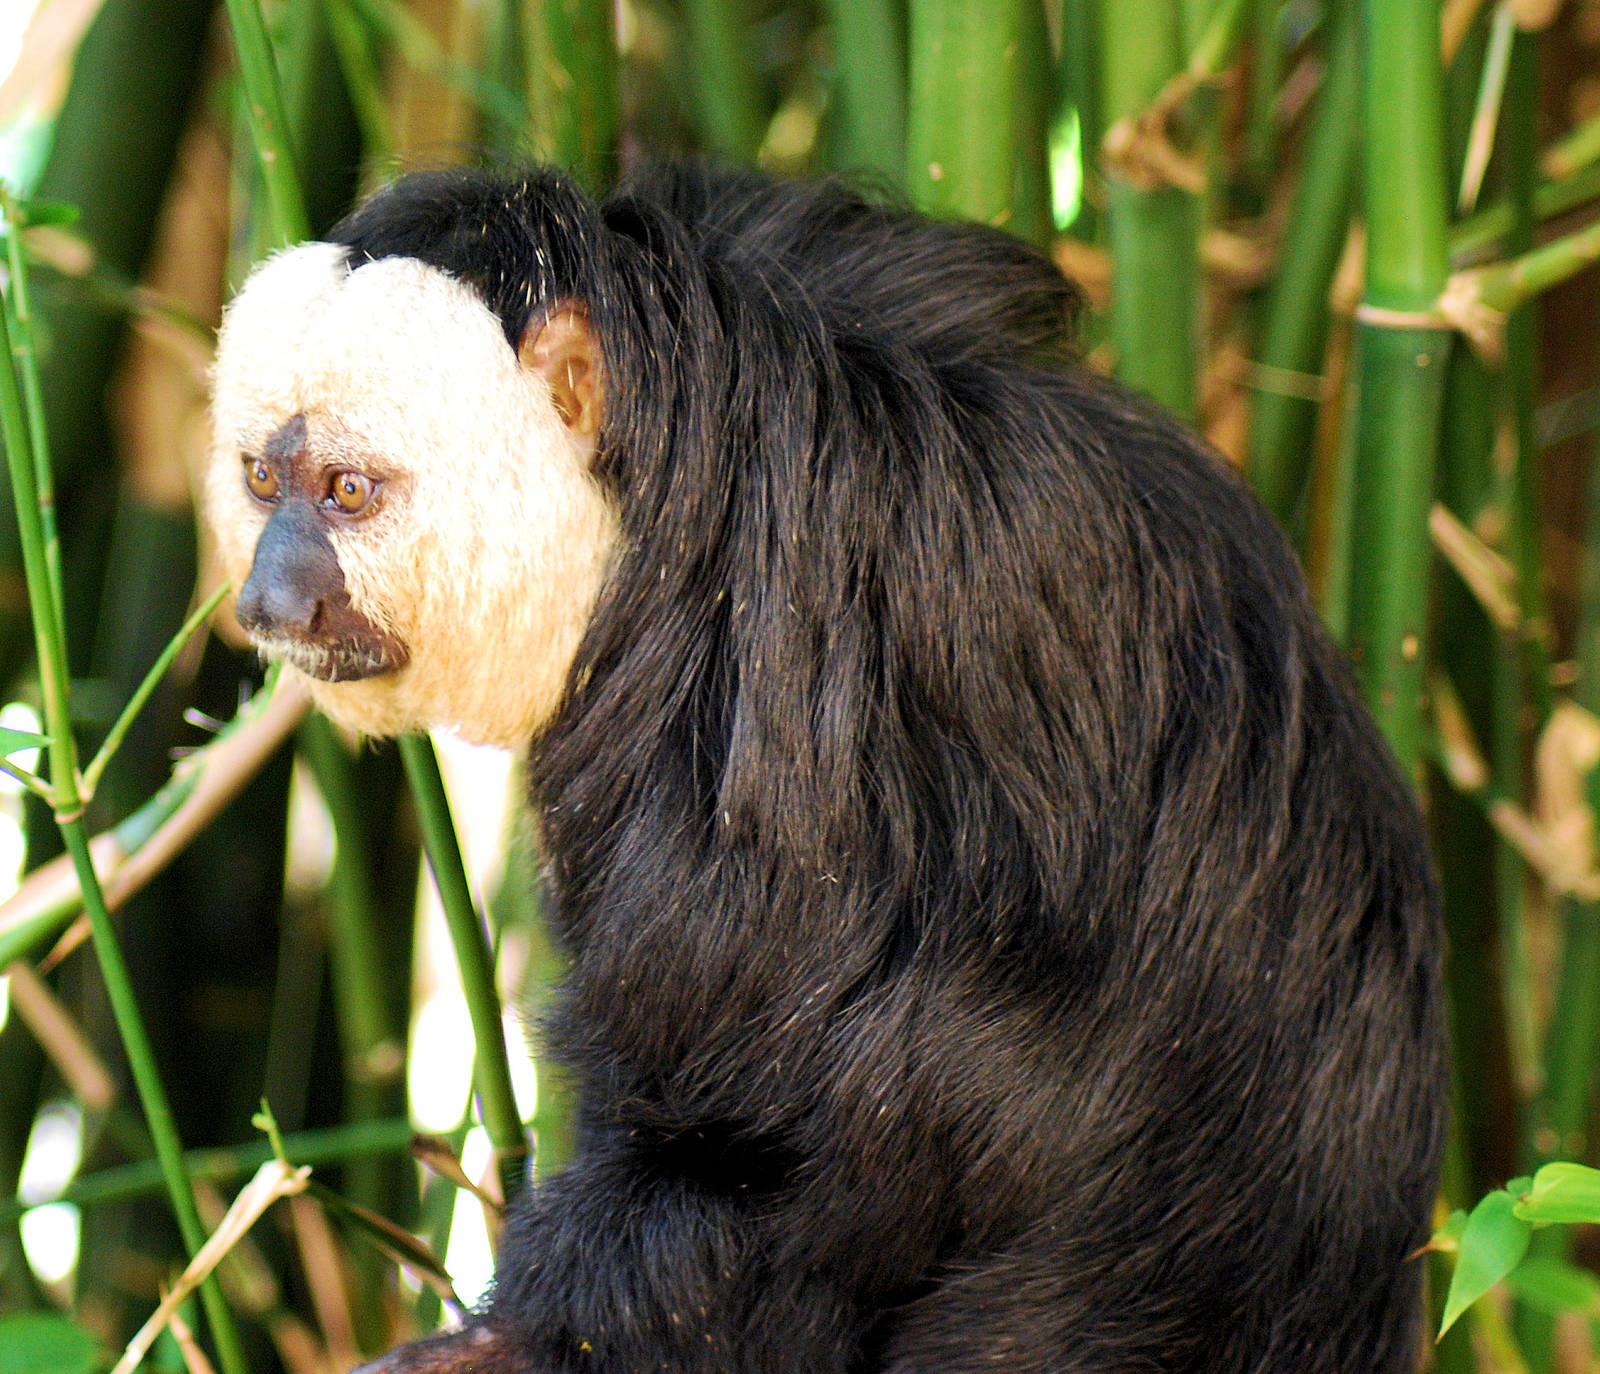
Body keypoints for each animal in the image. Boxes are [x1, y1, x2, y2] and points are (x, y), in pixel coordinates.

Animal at [205, 163, 1446, 1374]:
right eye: (264, 482)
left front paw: (522, 1336)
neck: (674, 492)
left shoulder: (758, 694)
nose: (268, 600)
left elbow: (768, 1089)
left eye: (347, 492)